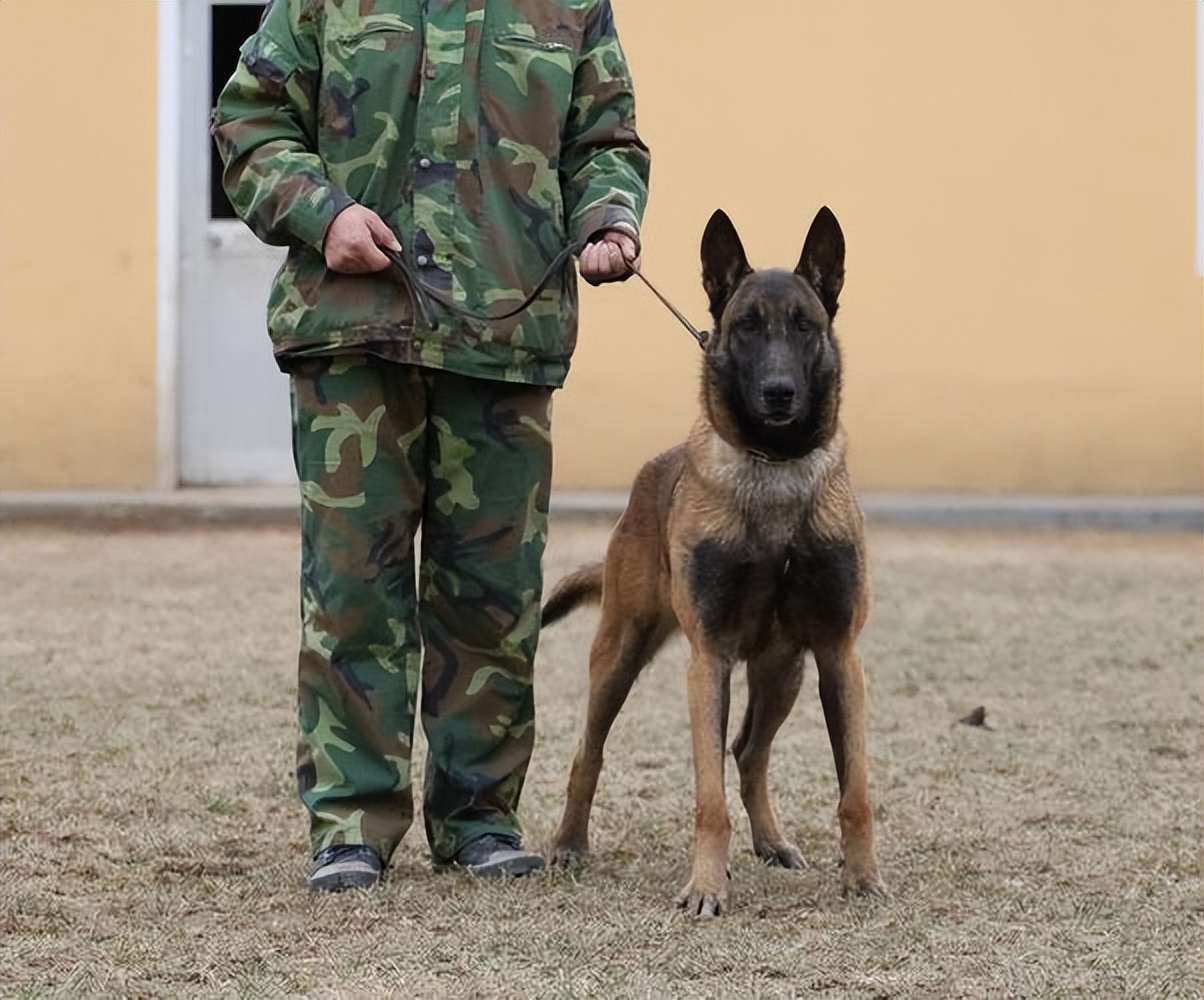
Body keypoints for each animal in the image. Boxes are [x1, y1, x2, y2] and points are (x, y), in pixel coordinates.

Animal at [546, 206, 886, 919]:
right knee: (589, 753)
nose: (779, 392)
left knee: (749, 752)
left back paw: (772, 841)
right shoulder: (710, 660)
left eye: (804, 326)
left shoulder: (838, 653)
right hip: (620, 653)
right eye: (746, 326)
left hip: (784, 671)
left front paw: (862, 876)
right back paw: (568, 844)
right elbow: (709, 798)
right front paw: (705, 886)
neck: (775, 472)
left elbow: (855, 790)